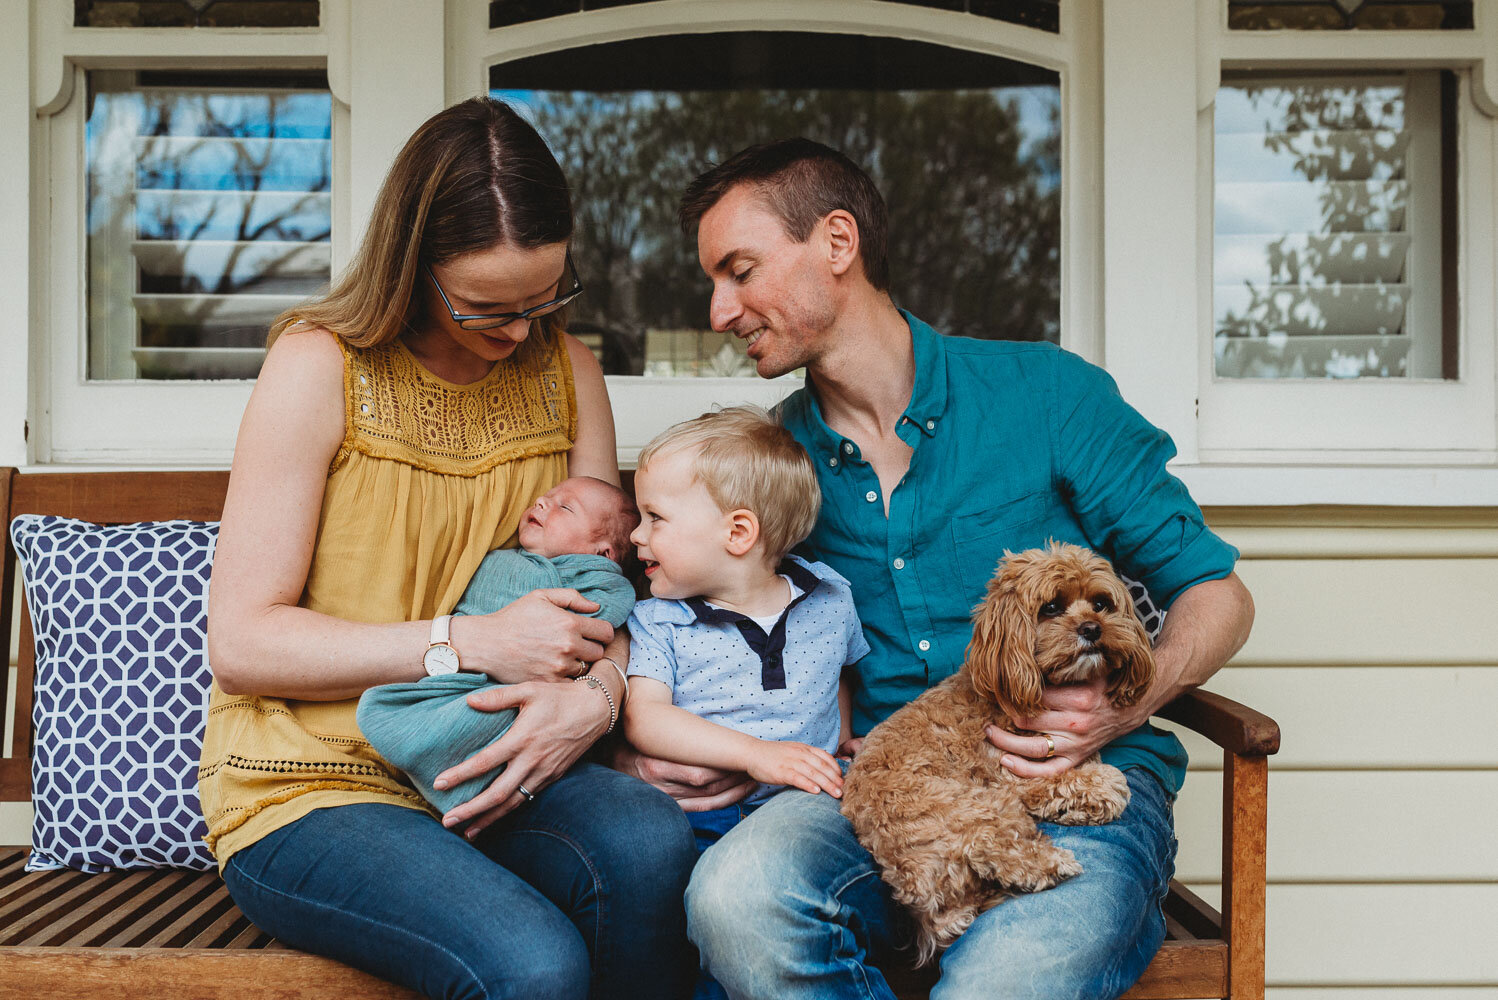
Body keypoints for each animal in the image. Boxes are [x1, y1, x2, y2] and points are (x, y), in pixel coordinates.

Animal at [850, 541, 1150, 964]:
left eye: (1100, 603)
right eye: (1051, 607)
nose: (1092, 628)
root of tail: (917, 891)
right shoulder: (1018, 774)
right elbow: (1101, 780)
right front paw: (1099, 789)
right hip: (981, 806)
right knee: (986, 848)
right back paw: (1050, 863)